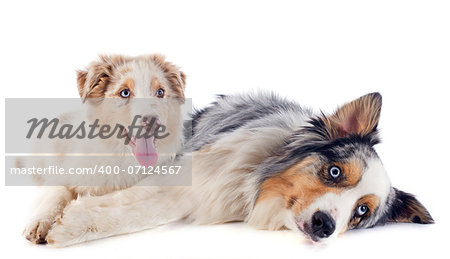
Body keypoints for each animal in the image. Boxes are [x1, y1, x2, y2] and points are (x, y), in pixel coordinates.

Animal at [22, 53, 187, 245]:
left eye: (160, 92)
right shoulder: (64, 172)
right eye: (125, 92)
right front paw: (39, 222)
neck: (119, 156)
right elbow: (56, 193)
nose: (153, 122)